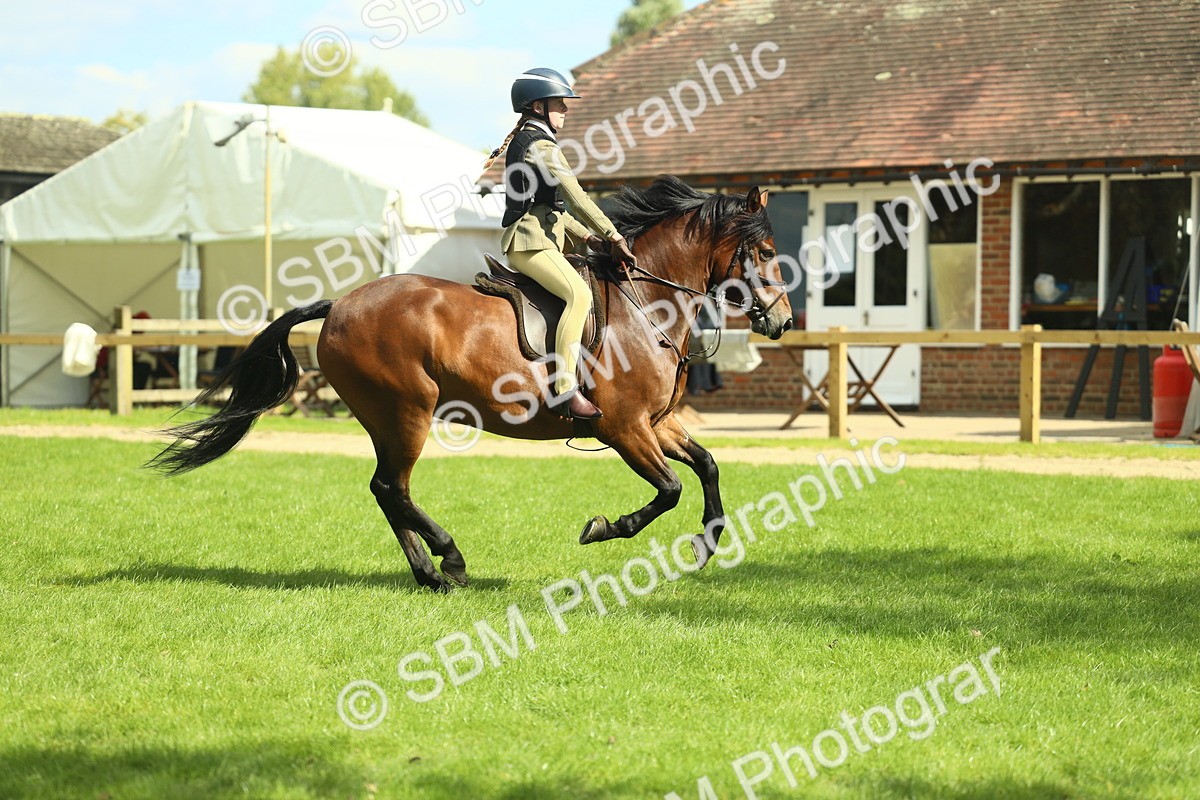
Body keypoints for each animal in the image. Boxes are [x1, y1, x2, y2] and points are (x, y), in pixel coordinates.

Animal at [149, 175, 794, 592]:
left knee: (386, 490)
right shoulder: (624, 427)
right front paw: (605, 528)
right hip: (407, 411)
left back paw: (431, 574)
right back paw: (450, 559)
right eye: (765, 250)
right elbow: (669, 490)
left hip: (387, 419)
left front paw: (707, 545)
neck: (646, 305)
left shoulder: (657, 423)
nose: (784, 321)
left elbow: (706, 466)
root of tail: (341, 304)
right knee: (392, 488)